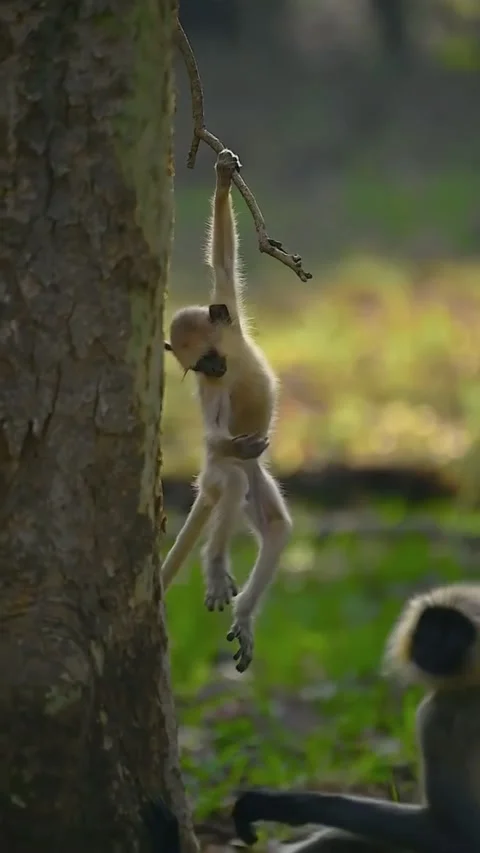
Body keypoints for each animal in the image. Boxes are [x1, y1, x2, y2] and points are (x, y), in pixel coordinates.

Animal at [232, 583, 480, 852]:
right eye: (433, 625)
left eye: (454, 633)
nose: (433, 642)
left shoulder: (437, 718)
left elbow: (461, 837)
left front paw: (282, 806)